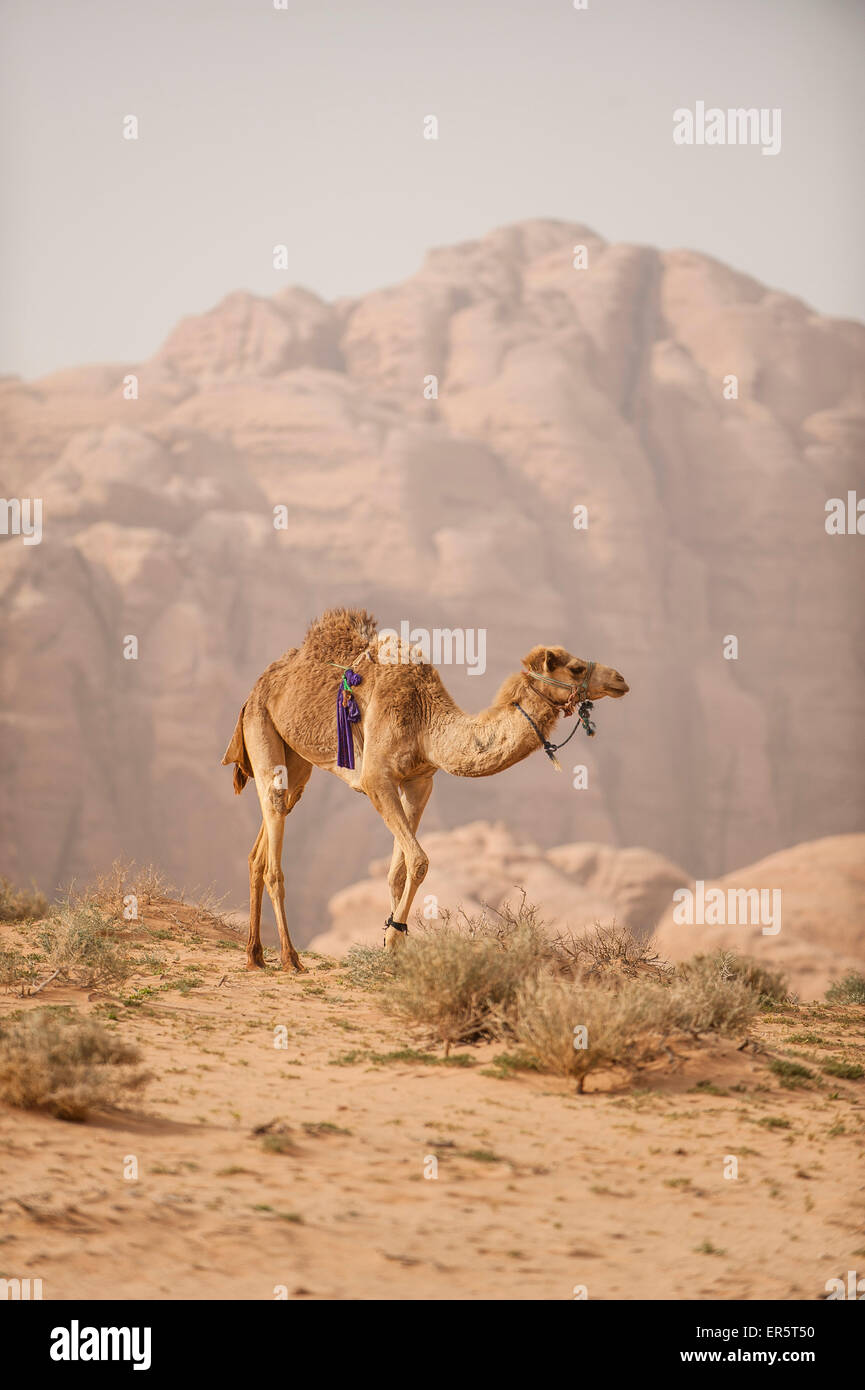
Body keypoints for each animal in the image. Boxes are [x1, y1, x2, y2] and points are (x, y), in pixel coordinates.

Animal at [223, 603, 631, 973]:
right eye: (575, 667)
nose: (620, 679)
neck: (425, 719)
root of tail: (261, 683)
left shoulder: (419, 782)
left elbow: (399, 871)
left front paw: (394, 947)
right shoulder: (377, 779)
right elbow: (420, 860)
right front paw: (393, 939)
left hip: (297, 759)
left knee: (263, 843)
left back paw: (255, 955)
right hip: (261, 725)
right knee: (274, 839)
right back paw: (289, 958)